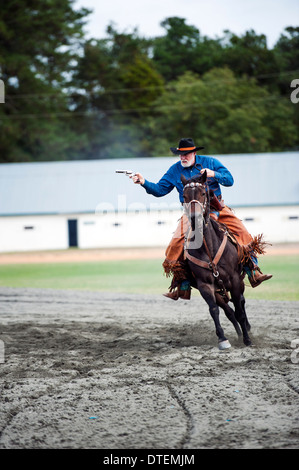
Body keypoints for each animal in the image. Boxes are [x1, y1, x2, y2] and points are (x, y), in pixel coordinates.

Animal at [182, 172, 264, 348]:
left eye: (203, 193)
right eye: (184, 196)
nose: (194, 218)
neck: (208, 247)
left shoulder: (235, 280)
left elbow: (240, 311)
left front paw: (247, 340)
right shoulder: (204, 285)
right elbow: (216, 310)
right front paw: (223, 339)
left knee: (240, 303)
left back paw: (246, 329)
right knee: (229, 311)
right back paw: (238, 334)